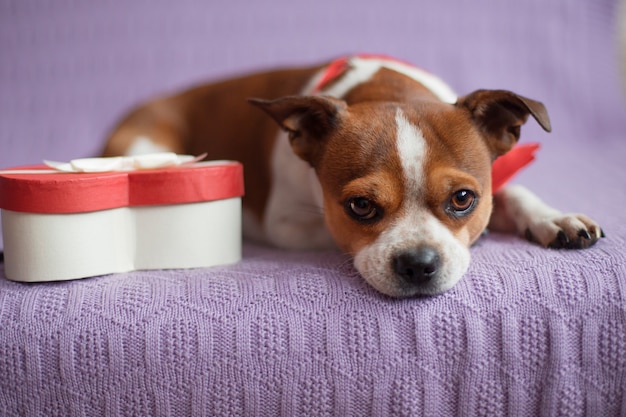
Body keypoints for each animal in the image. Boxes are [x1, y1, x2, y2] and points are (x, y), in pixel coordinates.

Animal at [102, 54, 600, 296]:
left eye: (462, 199)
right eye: (360, 206)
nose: (418, 263)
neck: (385, 90)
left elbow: (514, 192)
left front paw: (551, 217)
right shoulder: (287, 225)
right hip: (150, 149)